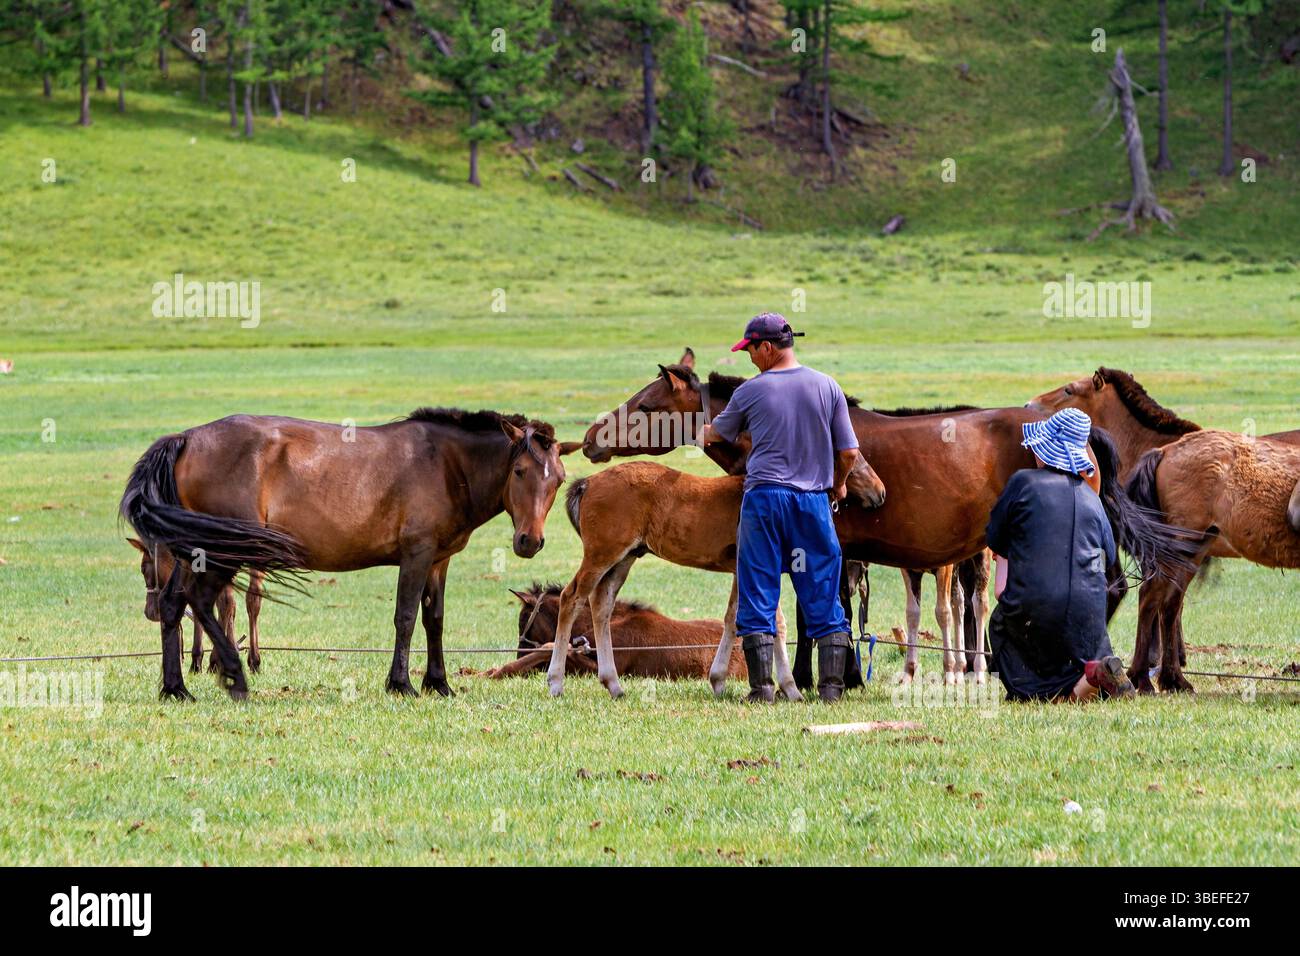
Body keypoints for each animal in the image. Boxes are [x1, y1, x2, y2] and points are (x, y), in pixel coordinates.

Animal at [545, 454, 888, 700]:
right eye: (854, 462)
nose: (880, 493)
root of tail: (588, 482)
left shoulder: (741, 571)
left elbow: (733, 618)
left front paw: (718, 680)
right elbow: (776, 622)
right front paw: (790, 689)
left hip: (623, 559)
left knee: (601, 605)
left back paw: (613, 684)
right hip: (602, 555)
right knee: (571, 598)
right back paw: (556, 682)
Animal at [580, 356, 1193, 687]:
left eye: (645, 406)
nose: (589, 438)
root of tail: (1082, 430)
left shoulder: (827, 546)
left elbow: (815, 613)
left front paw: (823, 675)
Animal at [1126, 430, 1300, 692]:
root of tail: (1166, 450)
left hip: (1194, 549)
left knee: (1170, 605)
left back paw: (1173, 679)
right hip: (1179, 544)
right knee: (1150, 598)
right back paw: (1142, 678)